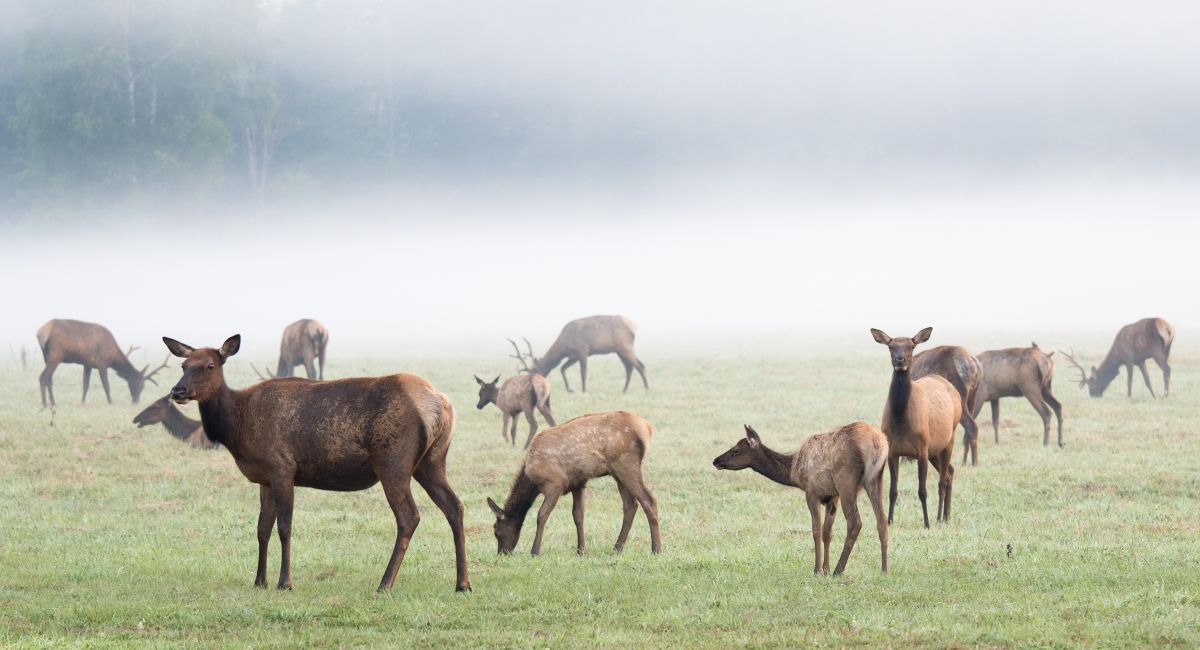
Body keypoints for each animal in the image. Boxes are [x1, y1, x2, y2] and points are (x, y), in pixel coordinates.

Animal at [36, 319, 170, 407]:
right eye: (141, 385)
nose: (136, 401)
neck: (113, 356)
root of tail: (40, 333)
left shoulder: (87, 364)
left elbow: (85, 385)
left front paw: (82, 402)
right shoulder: (102, 362)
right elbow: (106, 385)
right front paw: (111, 402)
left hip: (46, 357)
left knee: (49, 379)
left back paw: (53, 402)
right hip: (56, 355)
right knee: (43, 377)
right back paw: (44, 404)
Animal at [162, 334, 470, 592]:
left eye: (210, 365)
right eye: (183, 365)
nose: (177, 391)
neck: (238, 428)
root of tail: (441, 403)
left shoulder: (282, 467)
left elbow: (284, 528)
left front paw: (284, 582)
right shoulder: (265, 478)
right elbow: (262, 529)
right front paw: (259, 581)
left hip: (393, 461)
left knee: (409, 516)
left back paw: (385, 584)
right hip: (432, 461)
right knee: (454, 506)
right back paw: (463, 583)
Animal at [486, 411, 661, 556]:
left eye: (496, 531)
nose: (502, 553)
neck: (532, 480)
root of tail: (647, 428)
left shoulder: (555, 482)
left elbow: (541, 515)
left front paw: (535, 551)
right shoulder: (578, 483)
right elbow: (578, 515)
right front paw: (580, 550)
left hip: (625, 463)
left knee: (649, 500)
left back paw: (656, 550)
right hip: (618, 472)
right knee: (630, 505)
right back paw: (617, 549)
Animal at [713, 423, 889, 576]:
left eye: (736, 450)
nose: (716, 460)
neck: (793, 473)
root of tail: (877, 443)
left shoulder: (811, 491)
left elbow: (816, 530)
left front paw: (817, 570)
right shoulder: (832, 497)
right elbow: (827, 533)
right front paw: (825, 568)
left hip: (846, 481)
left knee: (855, 522)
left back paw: (838, 570)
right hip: (875, 479)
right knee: (882, 521)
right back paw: (884, 570)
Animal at [870, 327, 962, 528]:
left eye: (911, 346)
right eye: (891, 346)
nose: (900, 361)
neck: (901, 421)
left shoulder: (921, 448)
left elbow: (922, 490)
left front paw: (926, 523)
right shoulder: (893, 451)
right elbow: (892, 490)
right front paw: (889, 521)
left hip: (948, 438)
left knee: (942, 480)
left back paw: (939, 518)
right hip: (935, 449)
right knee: (950, 472)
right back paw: (947, 516)